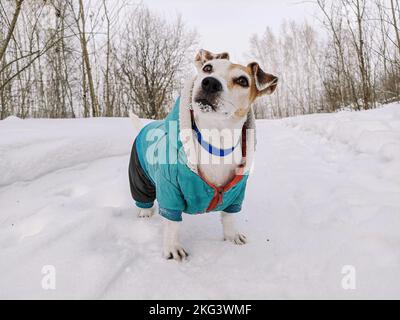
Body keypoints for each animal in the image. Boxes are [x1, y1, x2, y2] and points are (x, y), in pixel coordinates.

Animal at [129, 49, 278, 260]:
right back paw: (145, 211)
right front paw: (173, 247)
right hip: (139, 175)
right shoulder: (169, 189)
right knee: (144, 197)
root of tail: (145, 126)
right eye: (208, 68)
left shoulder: (237, 193)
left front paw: (231, 236)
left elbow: (229, 217)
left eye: (242, 80)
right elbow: (173, 224)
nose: (210, 82)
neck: (215, 142)